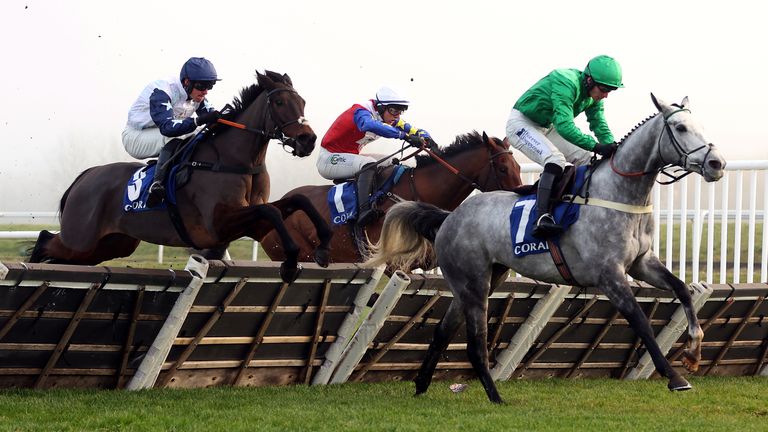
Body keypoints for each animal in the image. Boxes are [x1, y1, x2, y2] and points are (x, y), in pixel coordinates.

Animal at [30, 70, 332, 284]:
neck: (235, 161)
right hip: (80, 240)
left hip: (110, 245)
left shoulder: (251, 224)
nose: (307, 140)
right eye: (280, 102)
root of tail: (84, 177)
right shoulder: (218, 225)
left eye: (302, 102)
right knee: (45, 239)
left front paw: (323, 246)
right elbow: (271, 211)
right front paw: (290, 263)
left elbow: (298, 201)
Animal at [366, 93, 728, 402]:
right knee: (473, 343)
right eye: (680, 128)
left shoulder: (642, 263)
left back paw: (421, 385)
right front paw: (675, 376)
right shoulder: (609, 275)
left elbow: (681, 288)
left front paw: (693, 352)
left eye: (701, 126)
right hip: (473, 283)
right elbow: (641, 323)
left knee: (443, 331)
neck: (619, 194)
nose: (717, 163)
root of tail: (448, 216)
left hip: (480, 279)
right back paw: (496, 397)